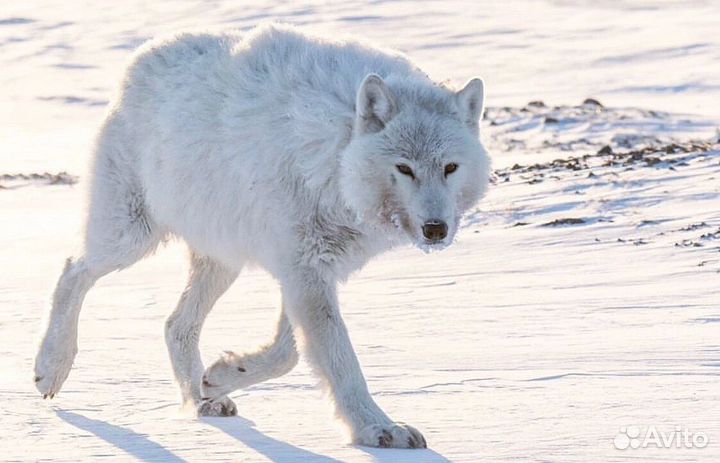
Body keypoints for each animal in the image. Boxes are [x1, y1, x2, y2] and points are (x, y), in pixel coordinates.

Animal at [32, 22, 490, 450]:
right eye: (404, 169)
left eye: (450, 168)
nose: (436, 229)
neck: (335, 157)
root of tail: (143, 56)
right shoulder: (304, 270)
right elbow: (337, 358)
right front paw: (377, 428)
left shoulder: (310, 268)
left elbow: (289, 351)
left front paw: (221, 376)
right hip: (129, 237)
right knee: (73, 271)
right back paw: (50, 367)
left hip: (221, 260)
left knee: (175, 324)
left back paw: (202, 400)